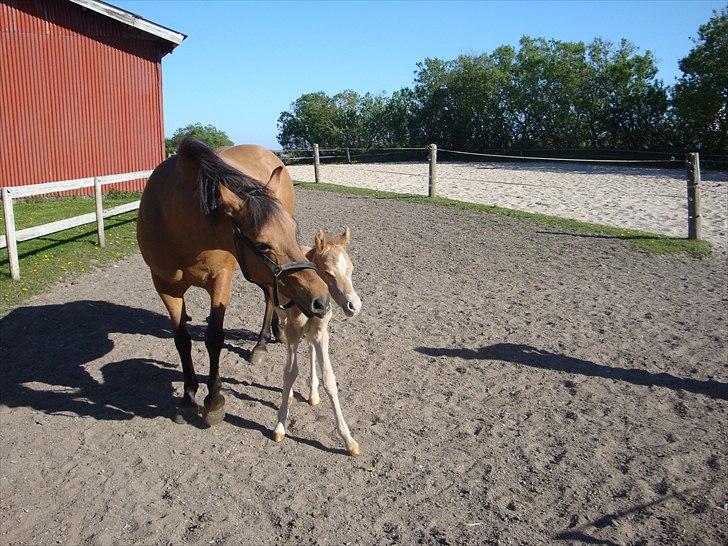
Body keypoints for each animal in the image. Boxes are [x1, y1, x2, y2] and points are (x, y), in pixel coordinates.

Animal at [137, 137, 330, 424]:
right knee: (270, 294)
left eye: (293, 230)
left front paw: (214, 400)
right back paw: (274, 333)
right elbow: (182, 340)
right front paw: (188, 397)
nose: (321, 298)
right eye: (262, 245)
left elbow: (213, 338)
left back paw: (261, 344)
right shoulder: (165, 286)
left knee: (268, 298)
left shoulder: (220, 280)